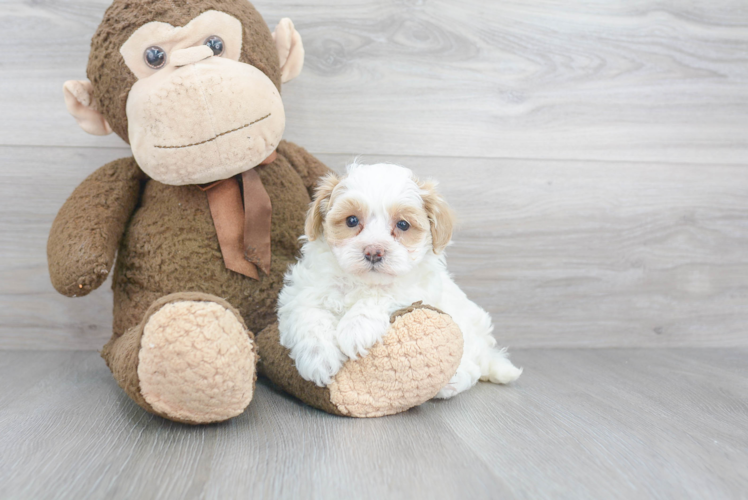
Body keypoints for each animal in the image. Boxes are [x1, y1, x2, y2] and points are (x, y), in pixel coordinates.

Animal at [276, 164, 520, 398]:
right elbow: (308, 314)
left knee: (473, 369)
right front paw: (319, 359)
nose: (374, 252)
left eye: (403, 225)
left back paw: (450, 384)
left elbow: (384, 294)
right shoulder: (303, 290)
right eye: (352, 220)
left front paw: (355, 328)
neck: (363, 282)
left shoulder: (417, 288)